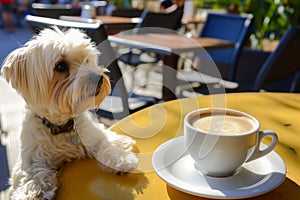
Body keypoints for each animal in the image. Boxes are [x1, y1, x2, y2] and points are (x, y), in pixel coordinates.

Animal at [1, 27, 139, 199]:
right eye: (60, 66)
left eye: (86, 60)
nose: (99, 78)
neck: (63, 126)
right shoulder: (30, 158)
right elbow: (32, 173)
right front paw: (34, 190)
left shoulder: (93, 133)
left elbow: (105, 142)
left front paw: (121, 159)